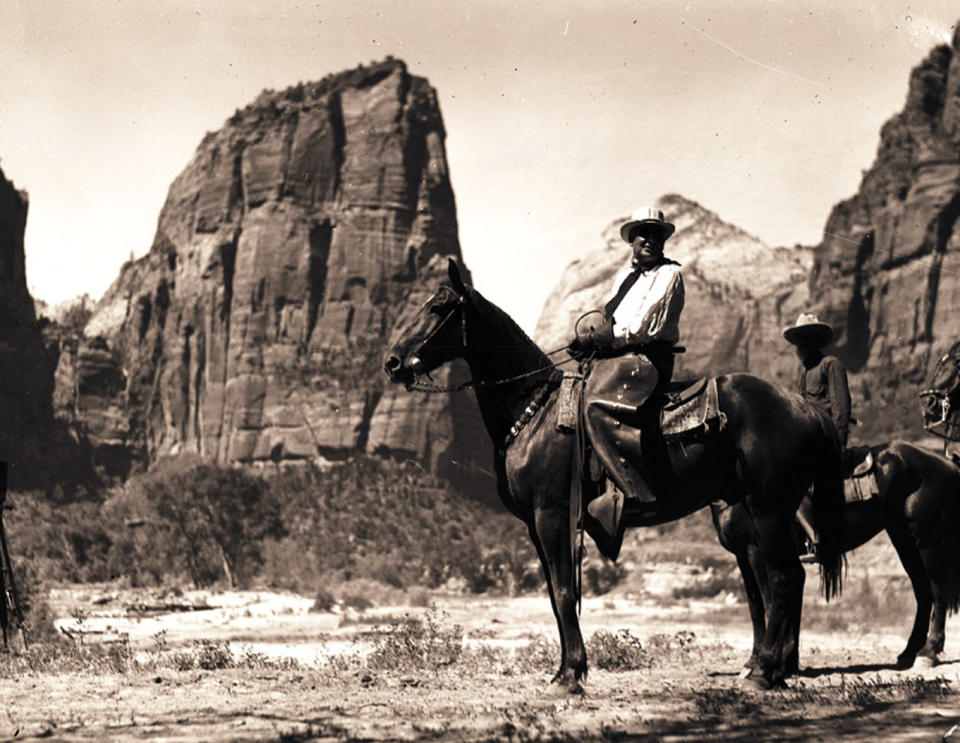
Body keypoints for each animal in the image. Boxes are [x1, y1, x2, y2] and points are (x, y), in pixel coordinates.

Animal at [382, 264, 848, 692]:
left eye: (438, 307)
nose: (392, 362)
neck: (534, 410)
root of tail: (807, 410)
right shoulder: (535, 524)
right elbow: (554, 593)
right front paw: (563, 670)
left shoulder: (552, 515)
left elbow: (565, 592)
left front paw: (572, 675)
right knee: (780, 581)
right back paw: (771, 668)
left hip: (769, 508)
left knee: (785, 578)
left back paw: (765, 671)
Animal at [712, 442, 960, 676]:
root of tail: (949, 463)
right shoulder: (743, 556)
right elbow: (757, 605)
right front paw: (773, 661)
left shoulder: (758, 553)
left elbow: (770, 603)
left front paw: (767, 662)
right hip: (904, 540)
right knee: (923, 593)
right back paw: (909, 652)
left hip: (927, 540)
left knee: (938, 591)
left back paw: (929, 652)